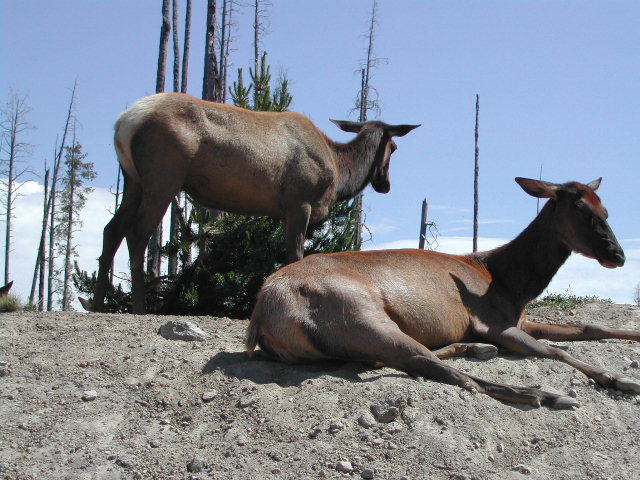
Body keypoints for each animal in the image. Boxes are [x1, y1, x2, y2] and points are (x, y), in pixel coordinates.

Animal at [81, 92, 420, 316]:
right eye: (394, 146)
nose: (385, 185)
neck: (338, 172)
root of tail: (124, 123)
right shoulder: (299, 201)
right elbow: (295, 255)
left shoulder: (283, 211)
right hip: (163, 175)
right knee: (137, 233)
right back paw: (140, 306)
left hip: (133, 179)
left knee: (111, 230)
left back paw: (97, 304)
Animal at [248, 178, 636, 406]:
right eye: (581, 209)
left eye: (605, 208)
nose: (618, 255)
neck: (512, 283)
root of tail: (260, 316)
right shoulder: (492, 323)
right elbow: (554, 352)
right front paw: (617, 378)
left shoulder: (521, 320)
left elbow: (592, 327)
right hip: (360, 314)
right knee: (438, 369)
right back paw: (545, 395)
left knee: (402, 360)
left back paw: (476, 350)